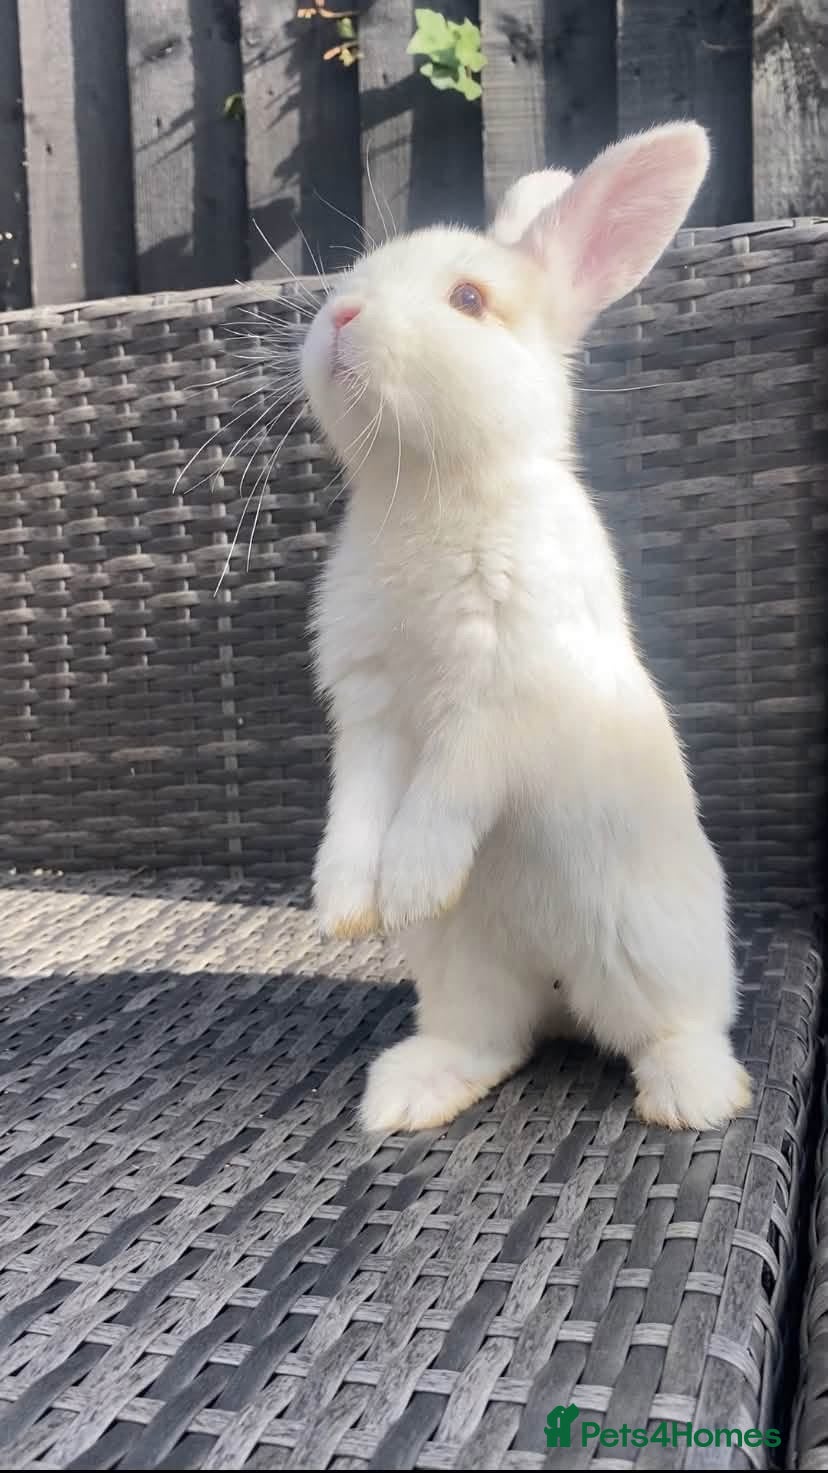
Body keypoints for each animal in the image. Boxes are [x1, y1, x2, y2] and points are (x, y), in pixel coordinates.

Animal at [301, 122, 752, 1134]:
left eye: (469, 300)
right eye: (359, 272)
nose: (341, 314)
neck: (428, 490)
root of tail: (559, 991)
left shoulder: (505, 695)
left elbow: (447, 791)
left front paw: (409, 881)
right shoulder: (368, 709)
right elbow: (358, 804)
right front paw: (348, 906)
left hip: (648, 940)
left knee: (676, 1024)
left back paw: (697, 1099)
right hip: (460, 968)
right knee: (492, 1039)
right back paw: (408, 1093)